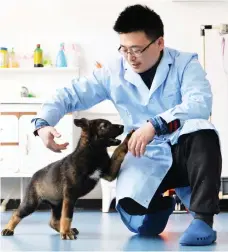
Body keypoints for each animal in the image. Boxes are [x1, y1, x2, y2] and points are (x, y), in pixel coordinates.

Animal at [1, 118, 134, 240]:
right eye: (104, 126)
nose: (122, 126)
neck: (93, 151)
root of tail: (34, 175)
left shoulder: (109, 174)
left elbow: (118, 151)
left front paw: (129, 138)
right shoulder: (70, 195)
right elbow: (67, 216)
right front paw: (65, 233)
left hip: (57, 203)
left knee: (53, 221)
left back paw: (68, 229)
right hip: (31, 203)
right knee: (16, 213)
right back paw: (8, 229)